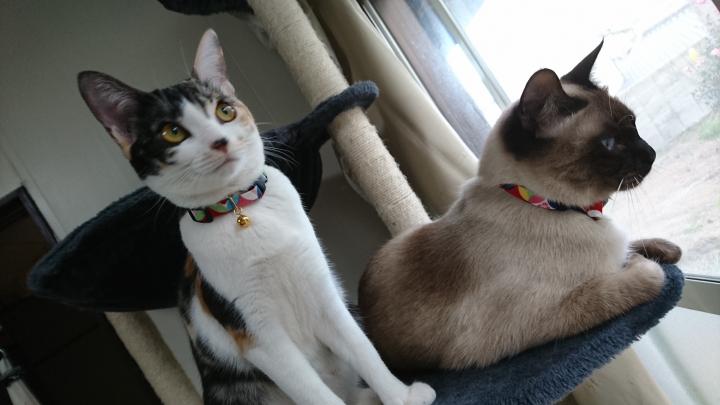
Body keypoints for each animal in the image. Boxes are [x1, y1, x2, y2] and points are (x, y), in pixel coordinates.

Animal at [77, 29, 435, 405]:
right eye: (171, 132)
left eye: (225, 110)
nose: (220, 141)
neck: (241, 210)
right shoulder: (255, 333)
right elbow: (313, 392)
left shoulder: (325, 294)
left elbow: (363, 350)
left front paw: (401, 396)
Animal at [358, 41, 682, 371]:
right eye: (608, 144)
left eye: (634, 124)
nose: (651, 154)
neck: (548, 205)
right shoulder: (544, 314)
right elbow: (647, 276)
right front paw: (643, 264)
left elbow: (639, 245)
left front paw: (666, 250)